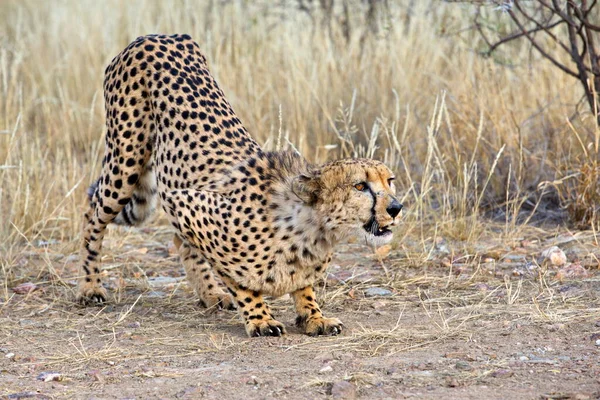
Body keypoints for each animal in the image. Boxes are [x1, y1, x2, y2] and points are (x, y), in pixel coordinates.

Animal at [77, 33, 400, 338]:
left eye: (390, 181)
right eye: (360, 186)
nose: (396, 208)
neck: (311, 231)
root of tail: (156, 36)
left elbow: (303, 285)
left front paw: (314, 316)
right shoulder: (185, 203)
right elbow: (240, 281)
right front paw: (260, 318)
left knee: (180, 242)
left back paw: (211, 294)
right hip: (125, 160)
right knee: (93, 213)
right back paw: (90, 288)